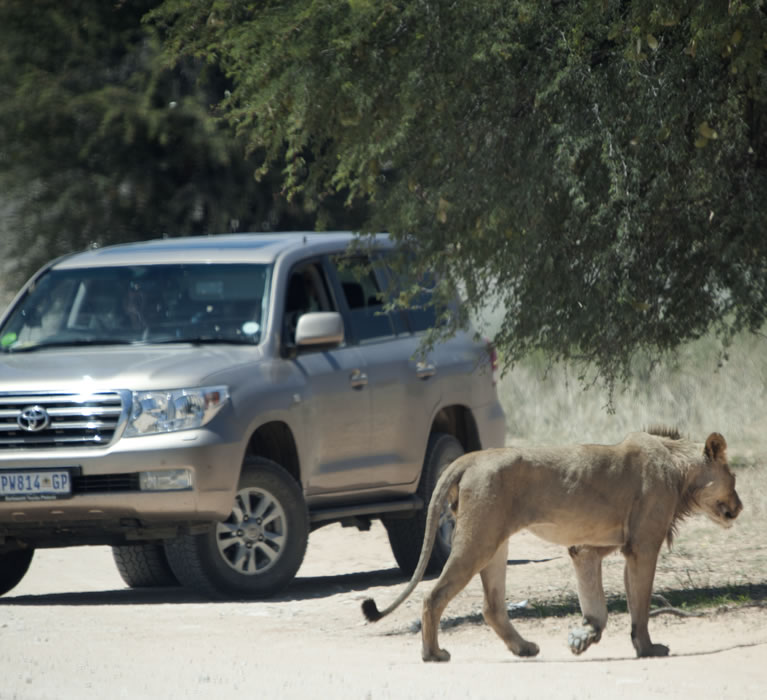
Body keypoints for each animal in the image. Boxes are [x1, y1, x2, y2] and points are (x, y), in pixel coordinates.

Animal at [362, 429, 743, 661]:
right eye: (734, 478)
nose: (740, 507)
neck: (679, 469)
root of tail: (472, 457)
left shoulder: (590, 546)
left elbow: (597, 602)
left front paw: (584, 636)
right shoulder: (642, 546)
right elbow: (640, 605)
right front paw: (647, 648)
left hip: (495, 543)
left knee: (492, 606)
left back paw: (524, 648)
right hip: (477, 541)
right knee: (433, 596)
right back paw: (433, 654)